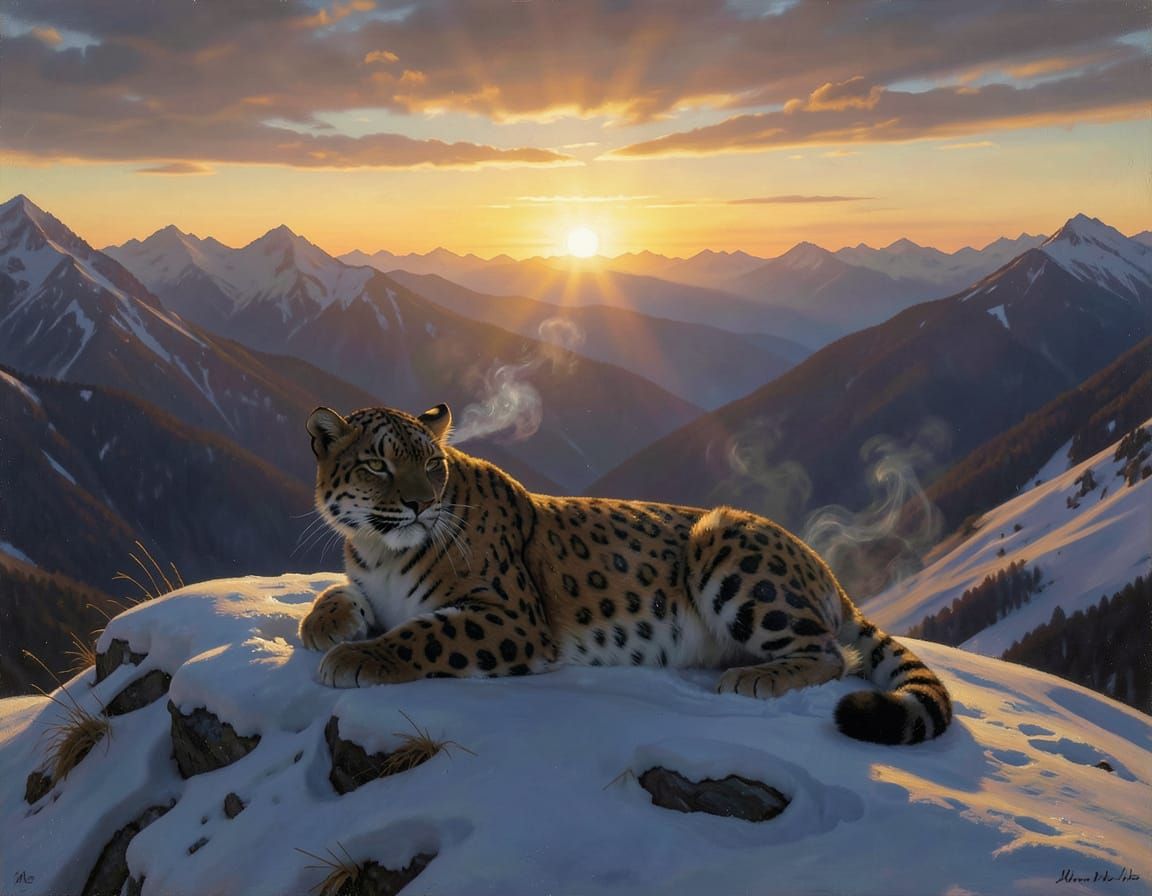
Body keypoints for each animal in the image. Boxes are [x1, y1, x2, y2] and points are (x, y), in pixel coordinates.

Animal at [298, 403, 952, 745]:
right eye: (378, 465)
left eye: (433, 465)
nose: (419, 504)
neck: (380, 548)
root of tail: (825, 567)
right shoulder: (368, 578)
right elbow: (340, 591)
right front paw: (323, 626)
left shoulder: (512, 618)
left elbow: (422, 633)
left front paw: (355, 658)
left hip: (722, 543)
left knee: (829, 652)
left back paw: (752, 679)